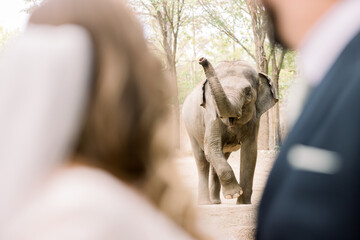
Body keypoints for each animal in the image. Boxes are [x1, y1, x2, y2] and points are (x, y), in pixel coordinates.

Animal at [183, 57, 278, 203]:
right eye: (211, 93)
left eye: (248, 92)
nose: (202, 60)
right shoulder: (211, 116)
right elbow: (211, 147)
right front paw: (234, 194)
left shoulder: (254, 120)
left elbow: (250, 152)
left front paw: (243, 203)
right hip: (190, 129)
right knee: (202, 161)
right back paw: (205, 203)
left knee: (220, 157)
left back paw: (215, 202)